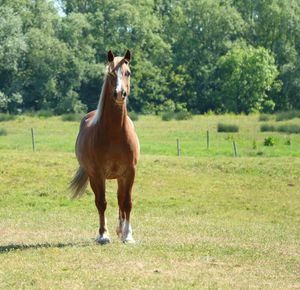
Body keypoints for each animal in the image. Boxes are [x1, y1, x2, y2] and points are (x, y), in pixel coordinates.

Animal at [69, 50, 140, 245]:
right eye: (110, 74)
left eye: (128, 72)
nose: (119, 94)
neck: (115, 133)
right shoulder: (97, 173)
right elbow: (102, 203)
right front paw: (103, 235)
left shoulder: (129, 172)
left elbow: (127, 202)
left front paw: (128, 235)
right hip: (95, 176)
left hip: (121, 177)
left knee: (121, 200)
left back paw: (122, 230)